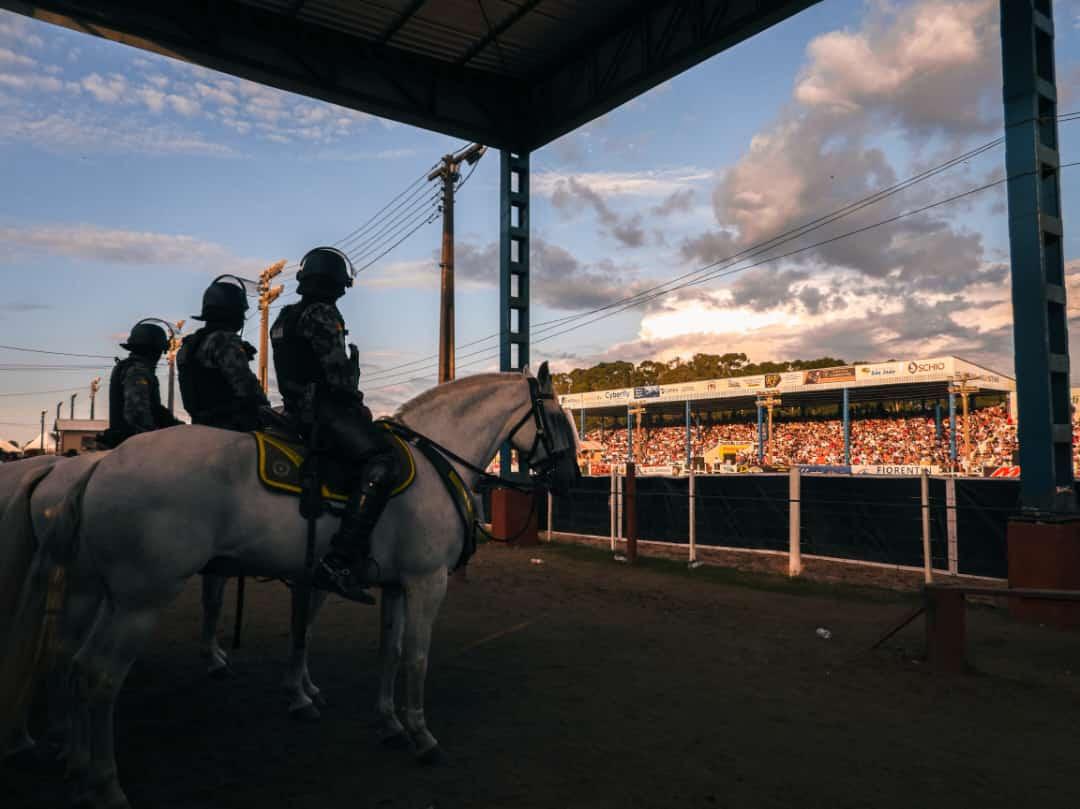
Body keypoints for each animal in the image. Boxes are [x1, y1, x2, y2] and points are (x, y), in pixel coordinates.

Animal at [4, 365, 578, 807]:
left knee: (73, 662)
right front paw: (421, 736)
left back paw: (74, 761)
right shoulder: (425, 582)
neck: (437, 465)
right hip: (140, 599)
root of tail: (100, 466)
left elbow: (388, 654)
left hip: (95, 590)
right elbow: (414, 659)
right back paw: (103, 782)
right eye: (555, 416)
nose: (571, 481)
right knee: (100, 675)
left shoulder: (393, 586)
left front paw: (388, 723)